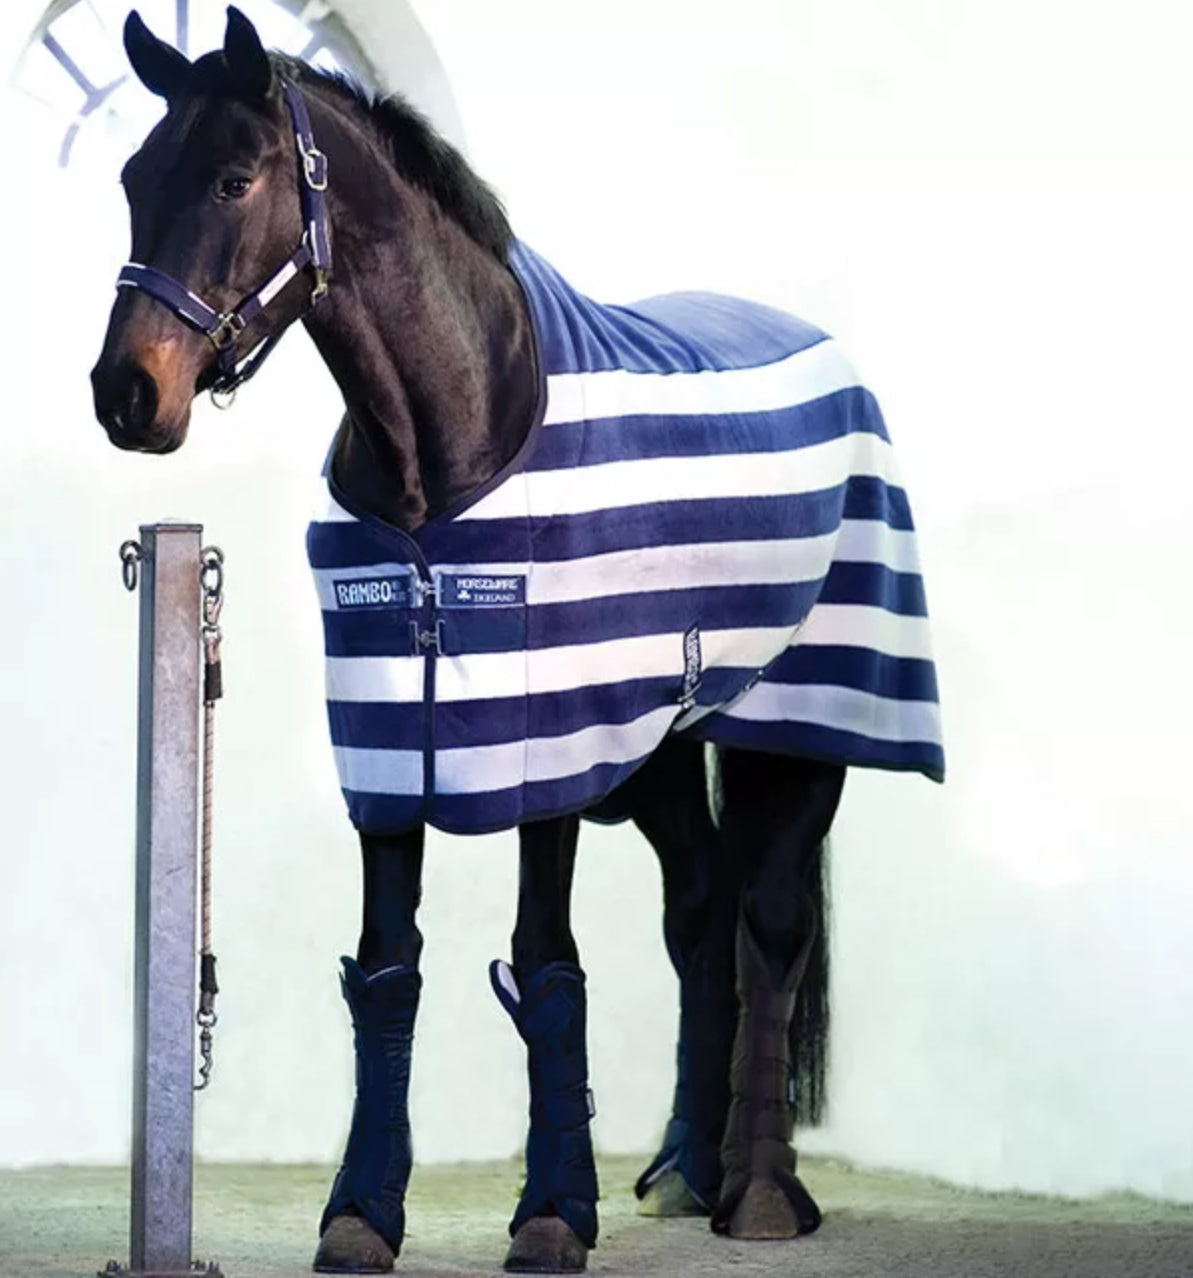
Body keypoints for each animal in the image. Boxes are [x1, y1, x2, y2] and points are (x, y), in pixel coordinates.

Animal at [91, 9, 944, 1274]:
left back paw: (757, 1194)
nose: (126, 394)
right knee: (699, 912)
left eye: (235, 178)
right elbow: (385, 967)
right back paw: (683, 1169)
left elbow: (545, 962)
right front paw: (360, 1213)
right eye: (134, 180)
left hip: (797, 723)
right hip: (655, 754)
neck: (448, 449)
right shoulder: (392, 742)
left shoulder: (547, 749)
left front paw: (549, 1213)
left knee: (771, 920)